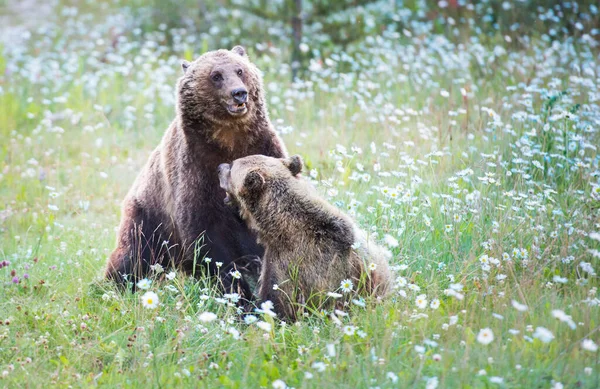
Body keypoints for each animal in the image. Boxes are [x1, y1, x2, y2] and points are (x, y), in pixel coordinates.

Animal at [104, 45, 288, 298]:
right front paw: (237, 294)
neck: (231, 140)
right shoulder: (197, 170)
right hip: (148, 218)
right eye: (216, 75)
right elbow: (208, 237)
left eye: (240, 70)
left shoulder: (264, 149)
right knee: (133, 254)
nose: (239, 93)